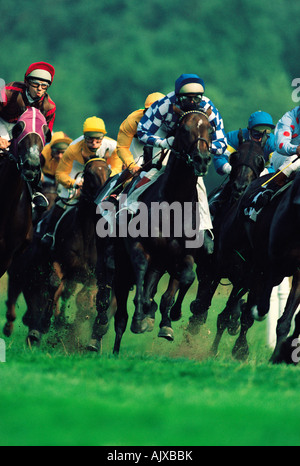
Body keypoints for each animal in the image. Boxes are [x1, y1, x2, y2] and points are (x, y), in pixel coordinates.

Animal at [3, 158, 112, 344]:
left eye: (109, 172)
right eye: (89, 173)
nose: (104, 200)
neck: (87, 235)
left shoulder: (91, 274)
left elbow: (83, 297)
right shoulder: (57, 261)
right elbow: (53, 285)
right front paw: (43, 325)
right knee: (16, 291)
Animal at [91, 107, 213, 354]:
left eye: (210, 129)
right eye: (184, 129)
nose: (202, 159)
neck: (174, 203)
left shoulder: (181, 254)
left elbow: (185, 278)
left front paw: (168, 319)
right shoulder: (138, 246)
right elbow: (141, 270)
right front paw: (142, 315)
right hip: (113, 261)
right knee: (111, 299)